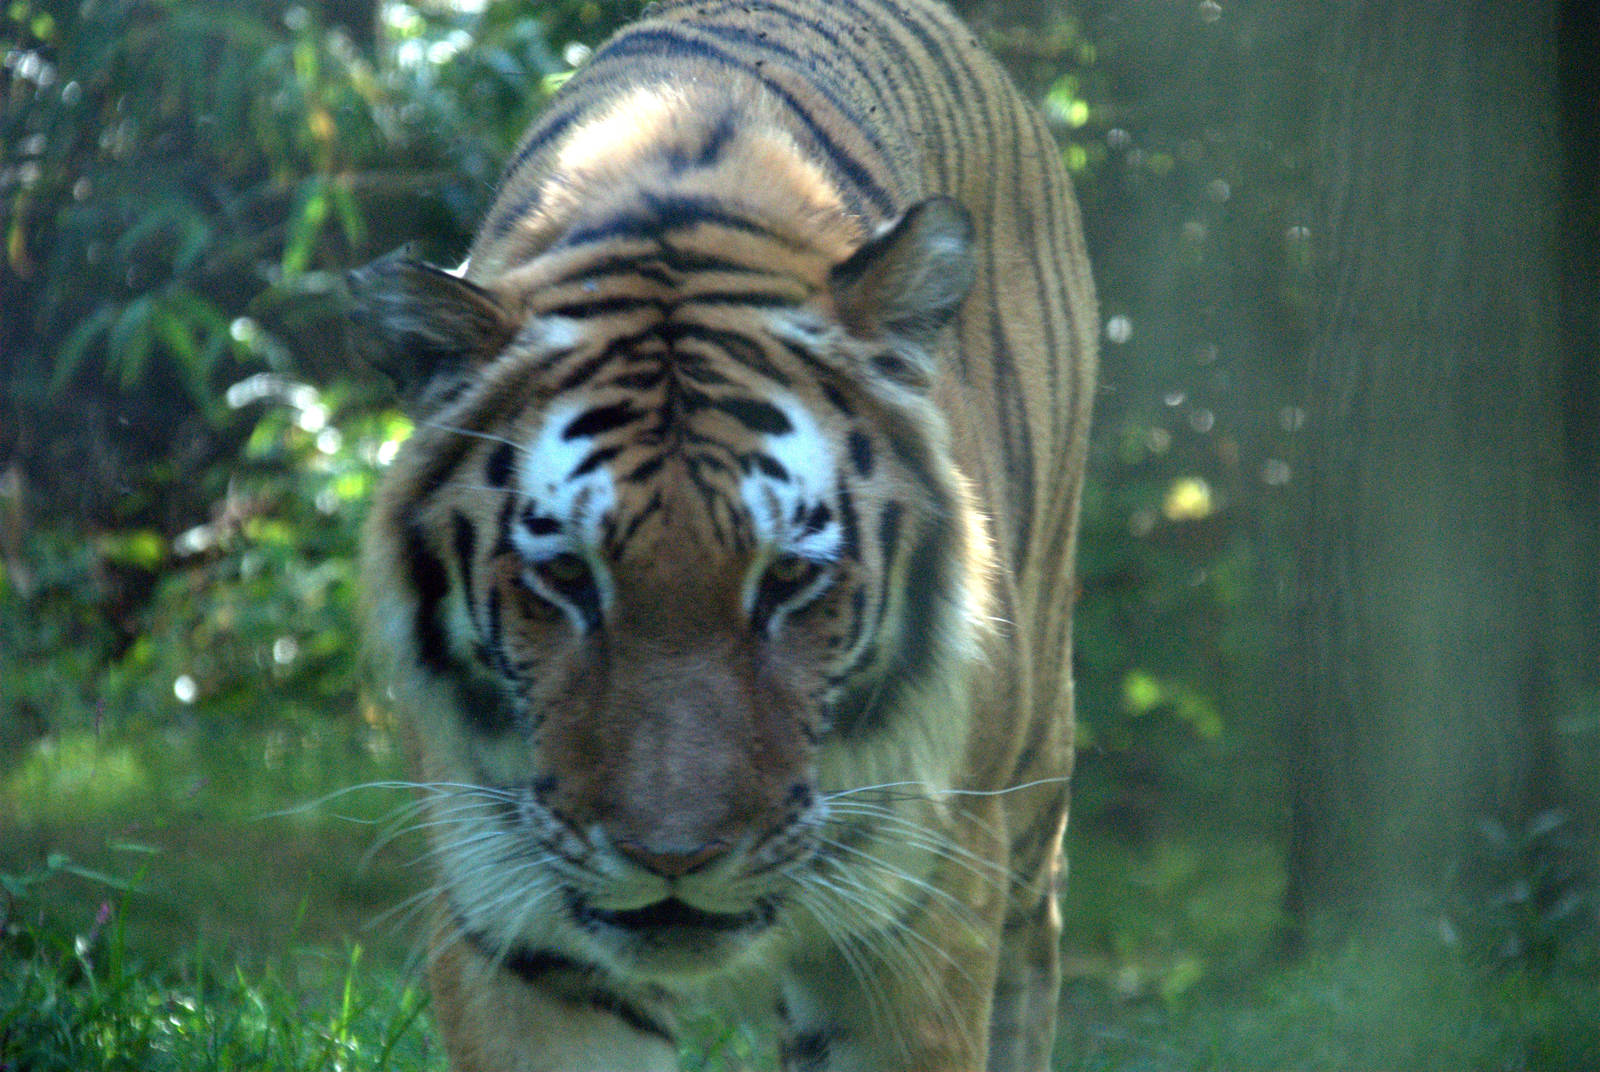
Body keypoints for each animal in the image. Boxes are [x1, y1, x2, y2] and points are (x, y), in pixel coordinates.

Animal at [349, 0, 1097, 1069]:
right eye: (566, 576)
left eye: (787, 579)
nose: (674, 858)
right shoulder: (515, 929)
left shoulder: (917, 919)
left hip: (1028, 780)